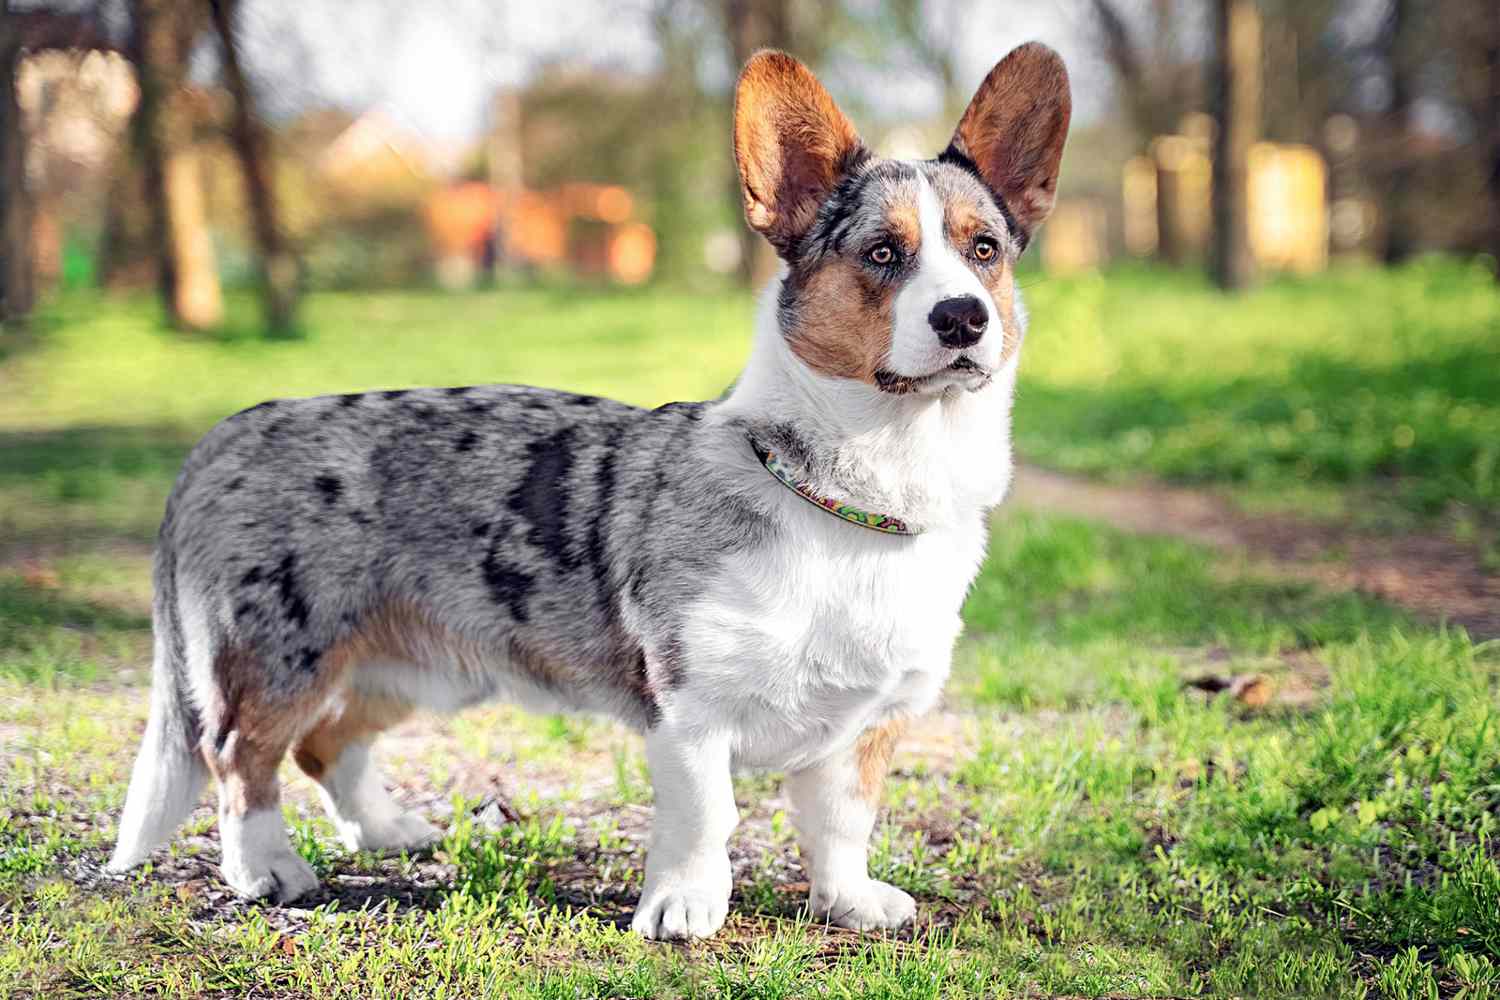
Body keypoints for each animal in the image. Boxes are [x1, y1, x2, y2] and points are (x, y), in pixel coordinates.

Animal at [108, 44, 1068, 941]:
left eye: (984, 250)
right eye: (882, 253)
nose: (963, 319)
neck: (855, 495)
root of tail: (223, 437)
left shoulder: (868, 726)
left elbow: (841, 826)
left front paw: (852, 904)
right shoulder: (691, 714)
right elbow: (706, 818)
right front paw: (683, 909)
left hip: (410, 668)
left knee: (325, 744)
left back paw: (386, 831)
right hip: (280, 661)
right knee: (242, 757)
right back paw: (265, 871)